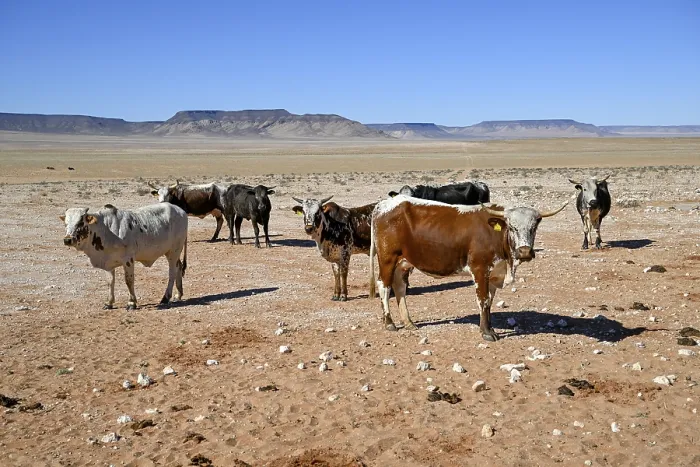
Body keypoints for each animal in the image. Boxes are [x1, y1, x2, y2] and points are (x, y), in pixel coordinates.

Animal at [60, 203, 188, 310]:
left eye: (80, 222)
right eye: (66, 223)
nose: (67, 240)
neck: (105, 230)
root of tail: (180, 211)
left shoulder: (128, 260)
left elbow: (129, 281)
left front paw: (131, 302)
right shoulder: (108, 262)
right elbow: (110, 282)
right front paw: (109, 303)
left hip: (174, 251)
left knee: (172, 272)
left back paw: (166, 297)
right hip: (173, 252)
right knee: (179, 267)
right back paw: (178, 294)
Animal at [369, 195, 567, 341]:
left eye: (534, 227)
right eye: (512, 227)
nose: (524, 251)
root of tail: (383, 204)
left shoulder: (494, 274)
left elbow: (489, 302)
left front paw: (489, 328)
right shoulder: (480, 269)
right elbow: (483, 300)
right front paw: (487, 332)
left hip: (403, 263)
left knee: (400, 288)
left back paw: (409, 322)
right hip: (388, 259)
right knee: (384, 287)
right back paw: (389, 323)